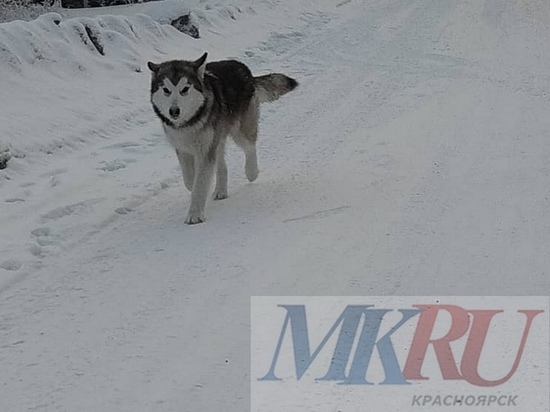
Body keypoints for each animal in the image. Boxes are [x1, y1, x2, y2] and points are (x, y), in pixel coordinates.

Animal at [148, 53, 298, 225]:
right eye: (166, 90)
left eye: (184, 89)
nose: (174, 111)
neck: (189, 122)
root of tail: (243, 68)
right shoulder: (182, 149)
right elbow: (190, 179)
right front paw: (195, 188)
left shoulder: (205, 150)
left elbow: (199, 184)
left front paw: (195, 214)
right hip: (217, 137)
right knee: (221, 163)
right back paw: (221, 189)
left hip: (240, 131)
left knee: (250, 147)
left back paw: (251, 172)